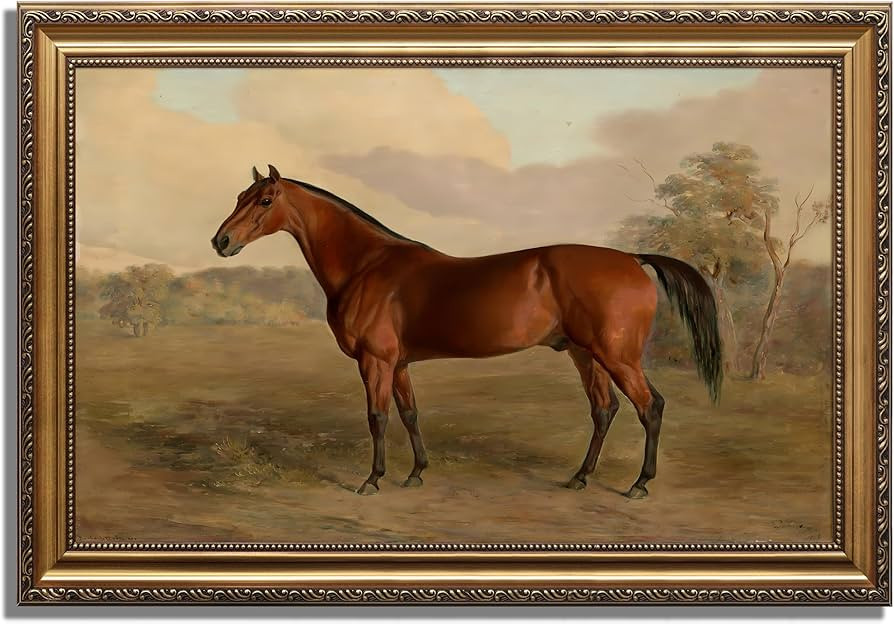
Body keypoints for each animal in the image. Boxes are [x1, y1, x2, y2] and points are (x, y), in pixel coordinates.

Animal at [212, 165, 722, 498]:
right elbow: (409, 414)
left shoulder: (375, 361)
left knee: (649, 407)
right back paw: (579, 478)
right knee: (604, 409)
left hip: (617, 355)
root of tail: (632, 259)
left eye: (264, 201)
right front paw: (416, 473)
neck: (367, 265)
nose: (221, 241)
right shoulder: (398, 364)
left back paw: (639, 484)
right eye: (237, 197)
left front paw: (373, 480)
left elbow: (377, 418)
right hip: (585, 354)